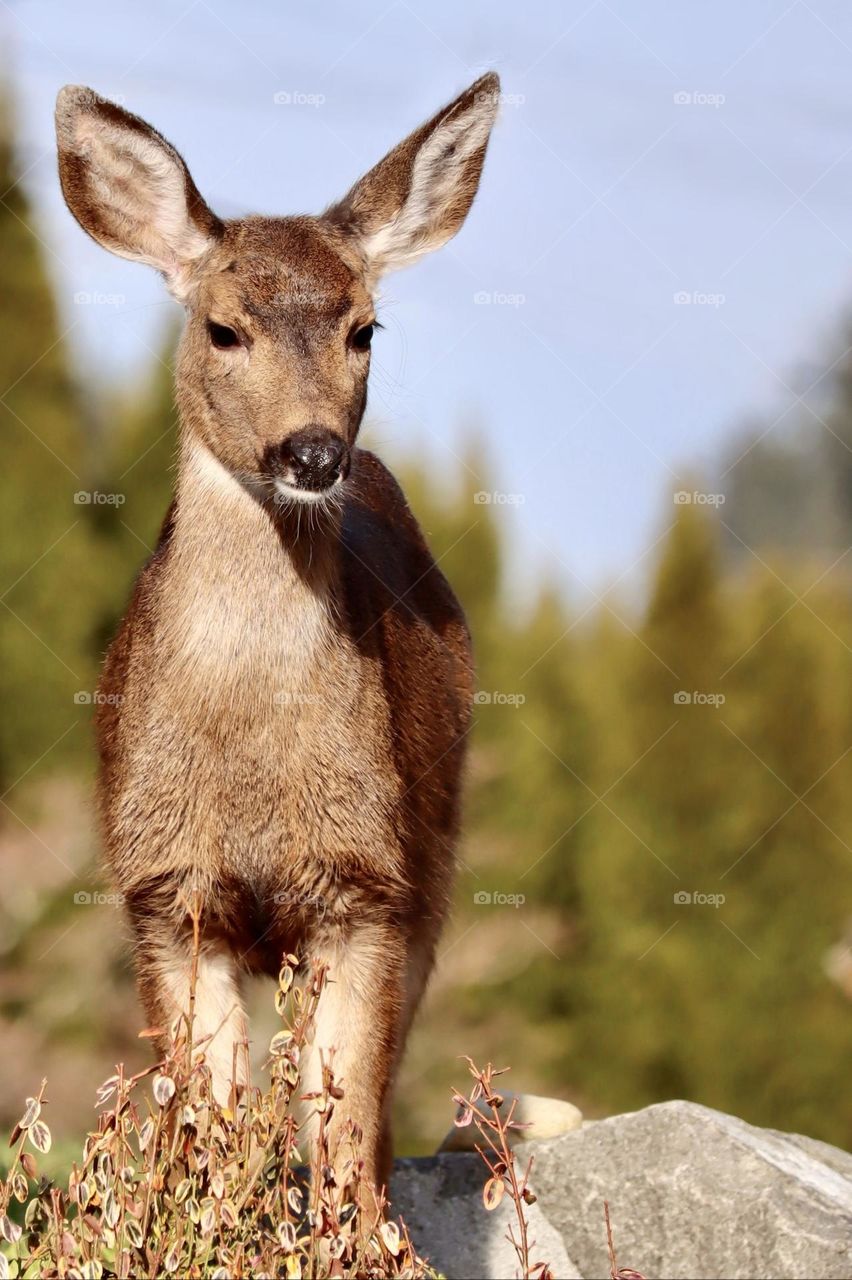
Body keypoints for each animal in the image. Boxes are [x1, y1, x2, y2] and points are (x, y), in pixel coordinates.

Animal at [54, 72, 498, 1187]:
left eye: (366, 329)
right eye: (222, 328)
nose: (313, 451)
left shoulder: (370, 883)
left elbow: (342, 1126)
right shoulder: (163, 889)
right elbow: (206, 1124)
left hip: (436, 860)